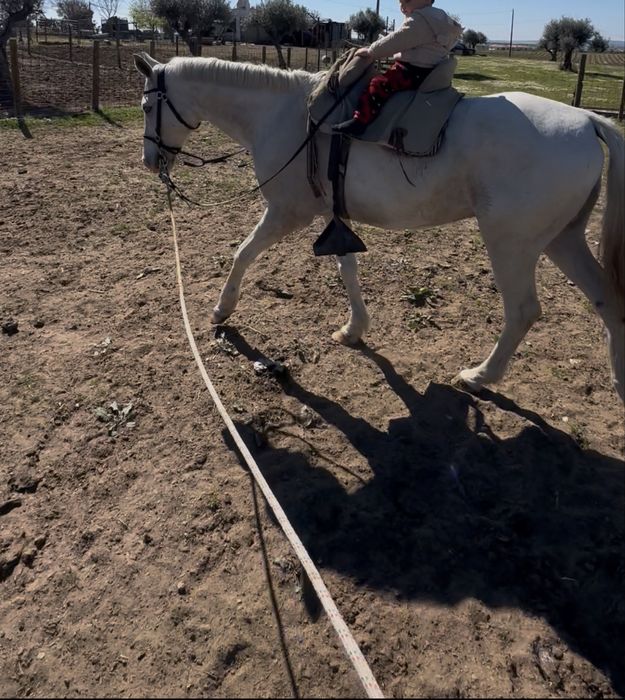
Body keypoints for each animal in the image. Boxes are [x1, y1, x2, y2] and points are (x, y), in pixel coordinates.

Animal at [133, 53, 625, 403]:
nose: (150, 161)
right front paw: (354, 329)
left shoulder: (287, 213)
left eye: (146, 104)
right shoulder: (334, 215)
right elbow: (347, 270)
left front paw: (222, 309)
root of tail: (587, 121)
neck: (285, 116)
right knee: (608, 301)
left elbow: (243, 252)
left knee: (523, 311)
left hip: (512, 243)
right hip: (563, 239)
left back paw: (479, 376)